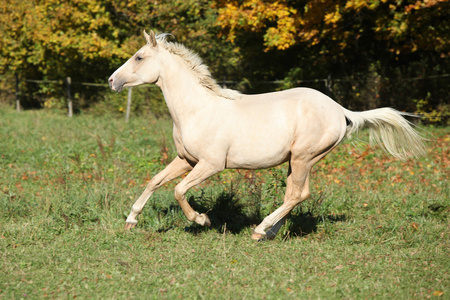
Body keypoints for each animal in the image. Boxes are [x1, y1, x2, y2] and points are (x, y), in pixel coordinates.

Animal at [109, 30, 426, 240]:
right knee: (295, 194)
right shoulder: (186, 160)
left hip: (303, 157)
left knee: (297, 194)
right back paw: (269, 230)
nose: (112, 81)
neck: (196, 109)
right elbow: (155, 181)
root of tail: (340, 110)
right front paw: (131, 220)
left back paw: (261, 230)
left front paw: (202, 220)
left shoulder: (211, 165)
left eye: (139, 57)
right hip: (298, 160)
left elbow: (178, 190)